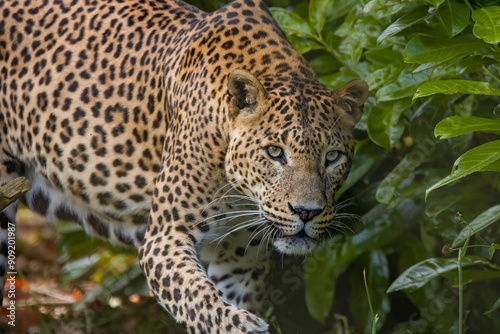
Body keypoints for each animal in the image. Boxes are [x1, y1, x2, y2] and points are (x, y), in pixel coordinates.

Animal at [0, 0, 368, 332]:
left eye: (332, 157)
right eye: (275, 152)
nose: (306, 212)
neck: (239, 194)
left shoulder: (238, 260)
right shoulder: (164, 237)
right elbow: (200, 302)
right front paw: (242, 327)